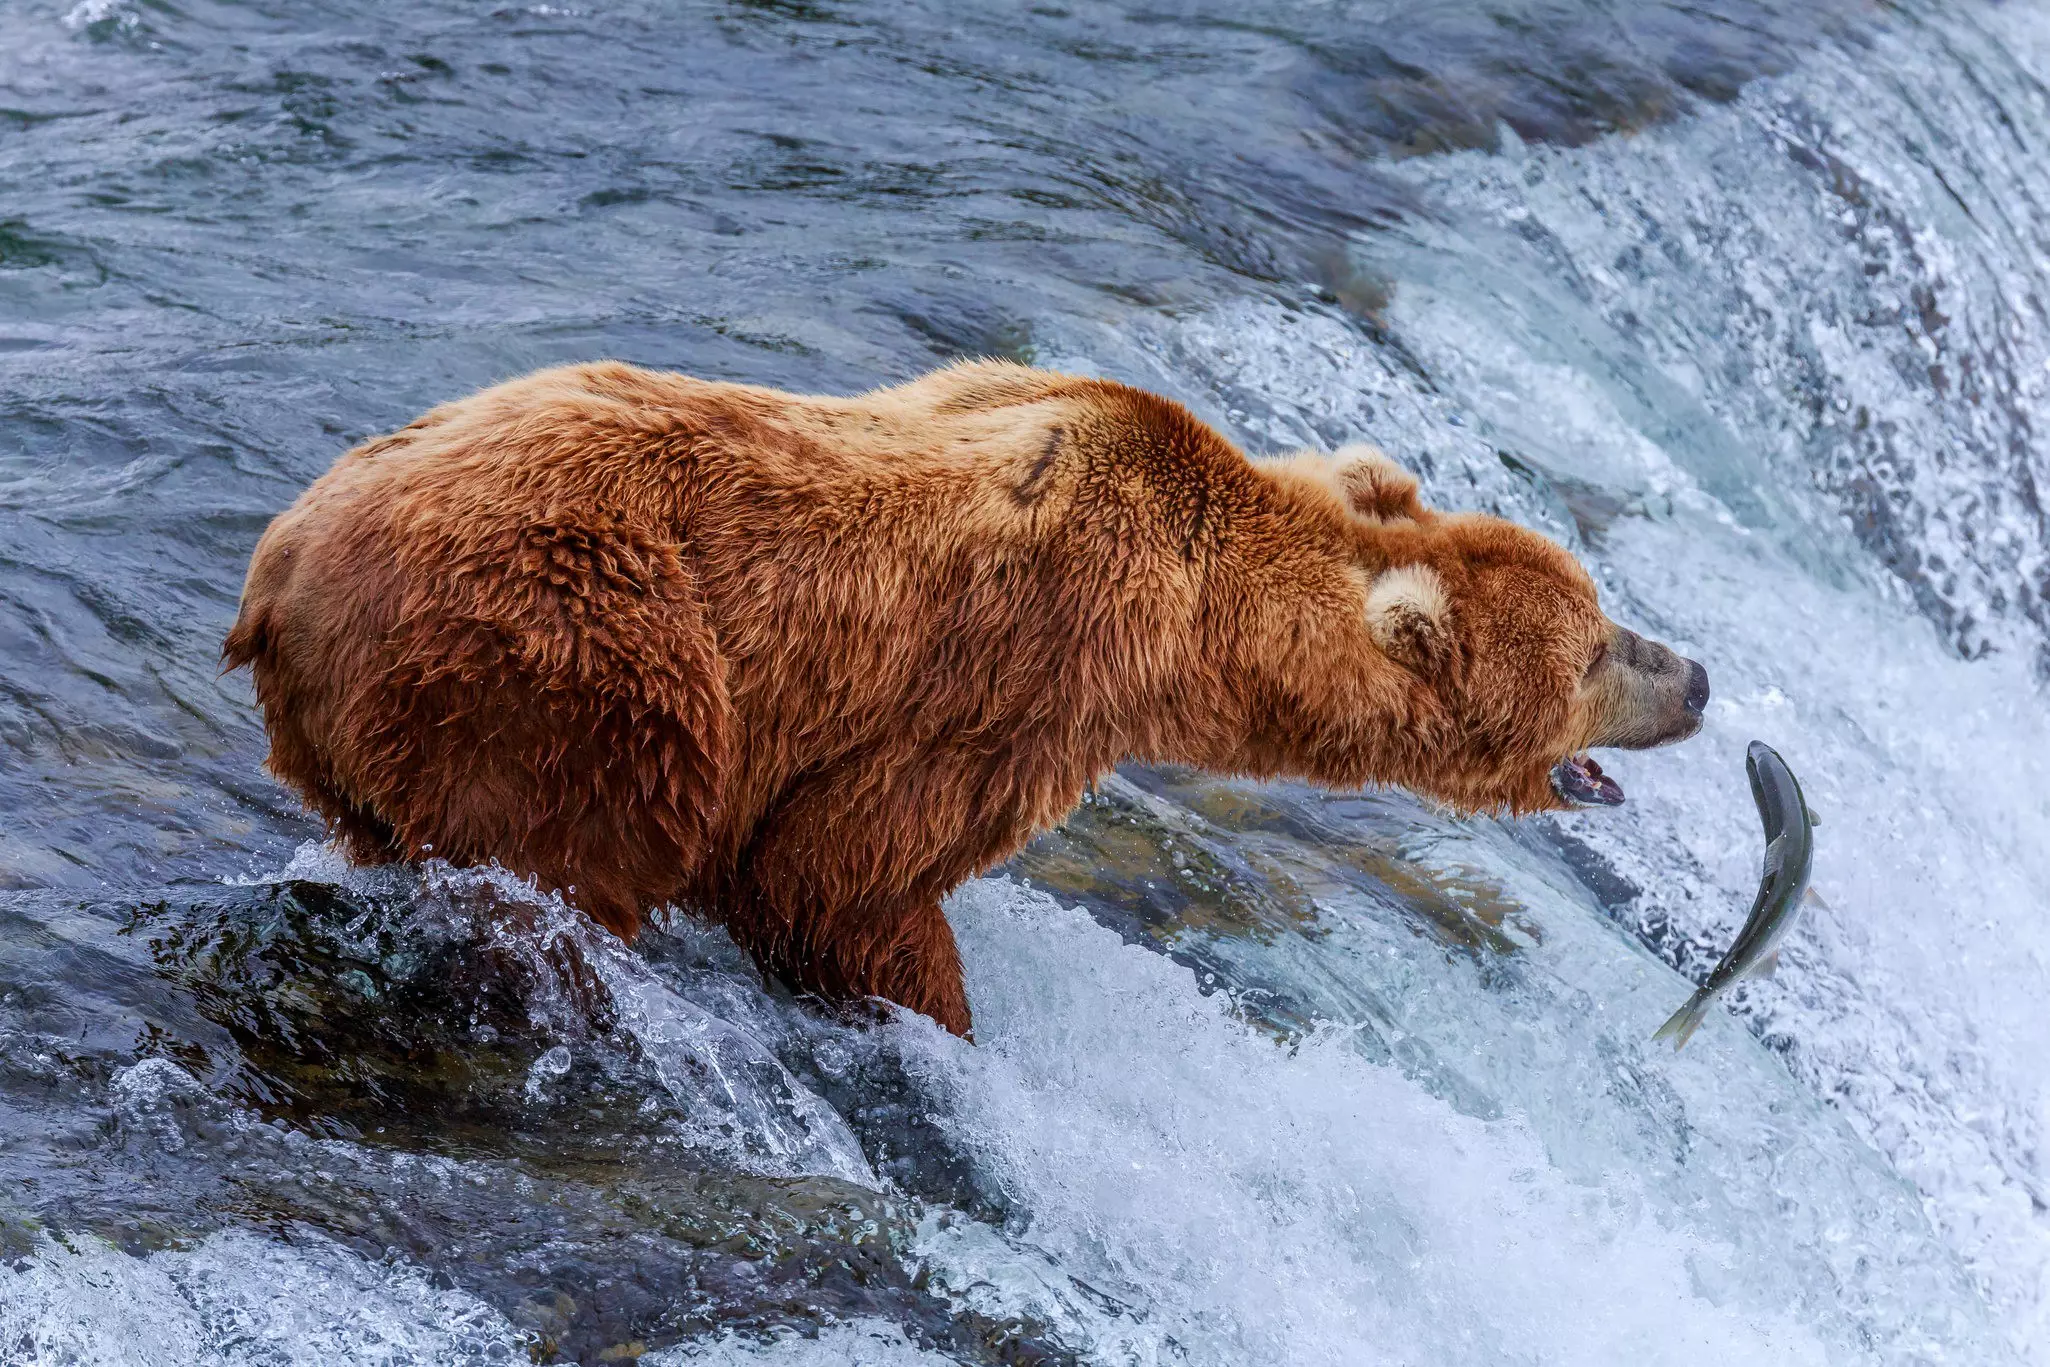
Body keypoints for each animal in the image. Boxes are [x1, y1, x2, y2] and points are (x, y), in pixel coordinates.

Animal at [224, 359, 1709, 1038]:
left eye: (1604, 612)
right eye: (1595, 652)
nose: (1695, 675)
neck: (1193, 621)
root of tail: (280, 565)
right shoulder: (1028, 667)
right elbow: (841, 872)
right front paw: (932, 1008)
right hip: (574, 660)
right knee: (575, 851)